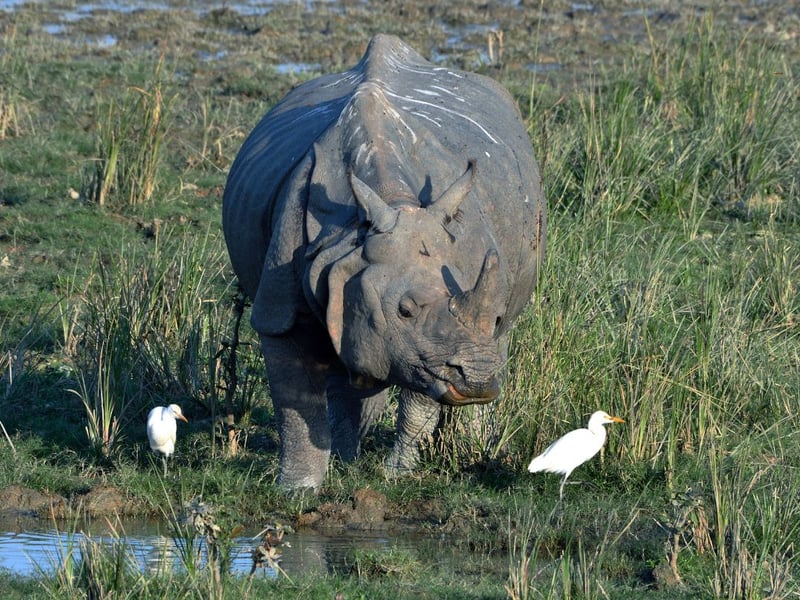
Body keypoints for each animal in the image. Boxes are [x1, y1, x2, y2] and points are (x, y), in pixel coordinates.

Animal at [223, 34, 546, 492]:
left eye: (495, 316)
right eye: (403, 310)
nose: (478, 381)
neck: (390, 200)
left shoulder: (432, 345)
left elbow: (419, 398)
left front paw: (396, 476)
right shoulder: (281, 307)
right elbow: (295, 401)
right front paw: (299, 489)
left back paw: (474, 452)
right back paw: (347, 457)